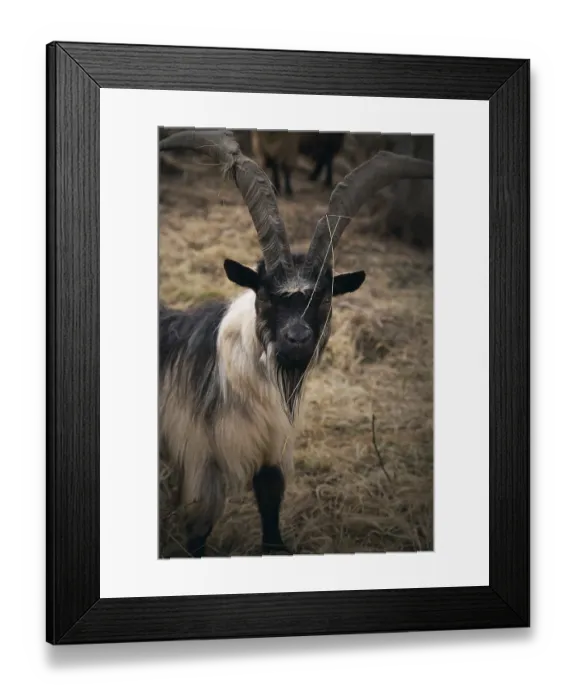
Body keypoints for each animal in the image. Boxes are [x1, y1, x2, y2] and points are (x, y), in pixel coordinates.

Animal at [158, 128, 433, 557]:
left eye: (323, 298)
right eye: (265, 294)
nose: (297, 339)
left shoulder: (272, 454)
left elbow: (271, 515)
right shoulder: (201, 468)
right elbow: (197, 535)